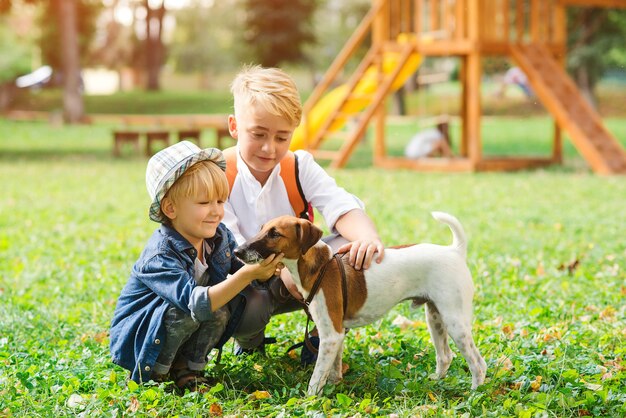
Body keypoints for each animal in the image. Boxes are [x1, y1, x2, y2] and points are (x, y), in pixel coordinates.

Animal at [232, 212, 486, 396]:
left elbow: (316, 377)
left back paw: (475, 392)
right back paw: (436, 382)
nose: (236, 251)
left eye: (274, 233)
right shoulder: (336, 335)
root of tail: (454, 251)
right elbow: (332, 369)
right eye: (261, 228)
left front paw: (309, 400)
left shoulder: (331, 335)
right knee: (446, 356)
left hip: (455, 323)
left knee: (478, 362)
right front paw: (334, 386)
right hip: (435, 318)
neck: (320, 267)